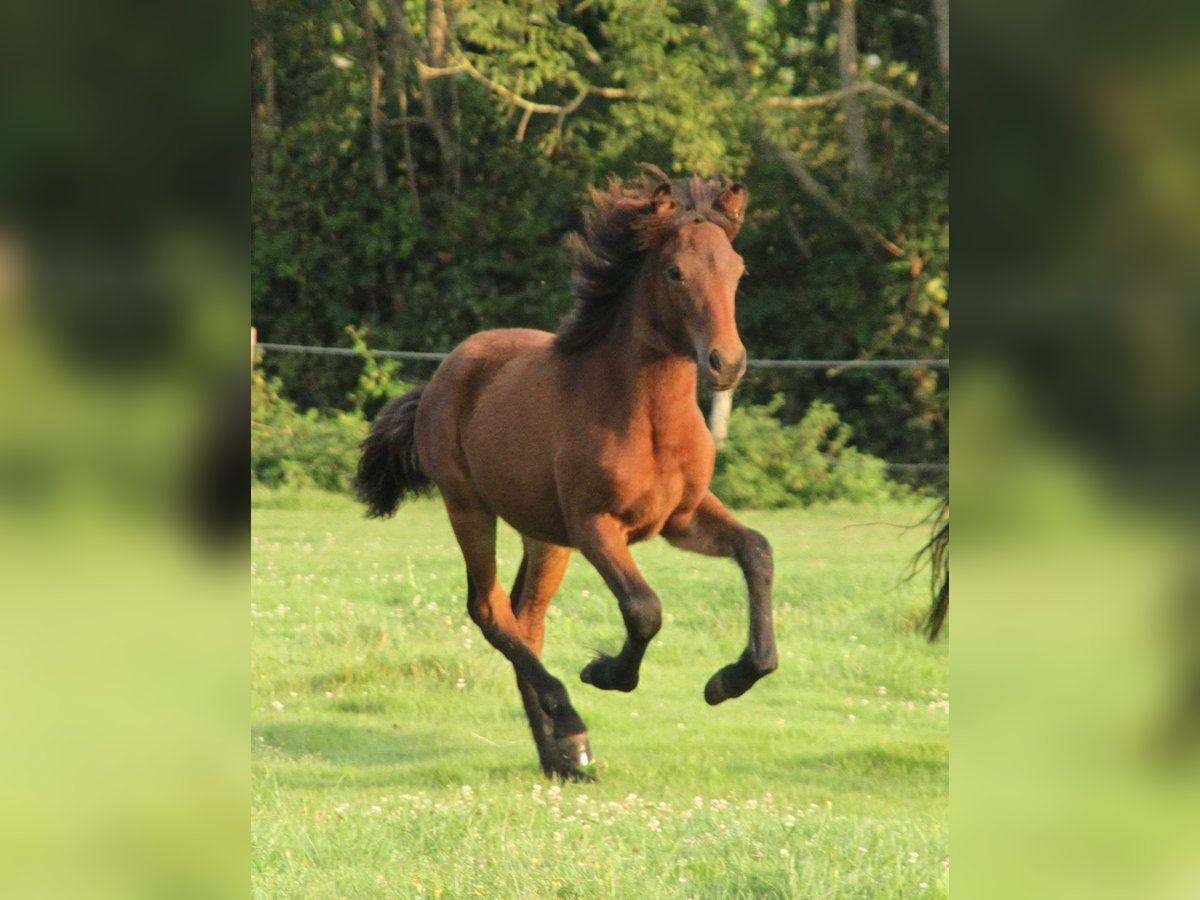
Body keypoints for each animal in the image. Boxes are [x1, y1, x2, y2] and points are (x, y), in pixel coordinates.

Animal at [352, 170, 777, 782]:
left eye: (737, 270)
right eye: (675, 272)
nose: (727, 363)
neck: (648, 419)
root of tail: (442, 375)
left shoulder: (683, 517)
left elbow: (757, 551)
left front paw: (728, 681)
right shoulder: (594, 525)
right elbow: (644, 609)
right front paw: (605, 673)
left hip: (543, 535)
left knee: (526, 620)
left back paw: (561, 755)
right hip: (470, 509)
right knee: (491, 612)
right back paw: (571, 727)